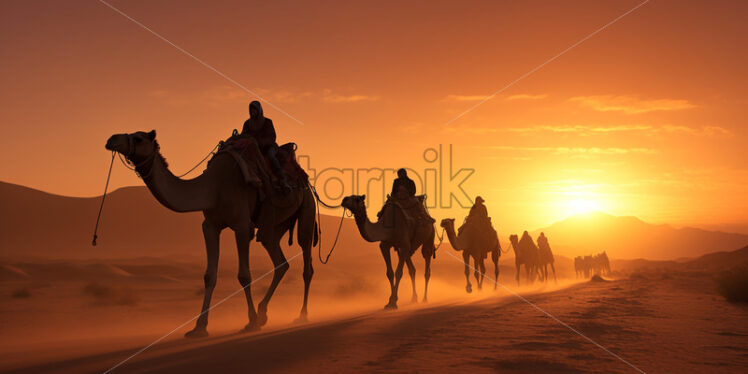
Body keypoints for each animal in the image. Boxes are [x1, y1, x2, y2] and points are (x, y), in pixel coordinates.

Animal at [105, 130, 316, 338]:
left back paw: (302, 315)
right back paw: (264, 312)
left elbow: (244, 275)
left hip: (307, 209)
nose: (111, 139)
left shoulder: (242, 226)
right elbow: (209, 276)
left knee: (306, 261)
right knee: (280, 261)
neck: (214, 187)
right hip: (273, 227)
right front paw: (199, 327)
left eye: (138, 138)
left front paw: (251, 322)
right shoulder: (210, 226)